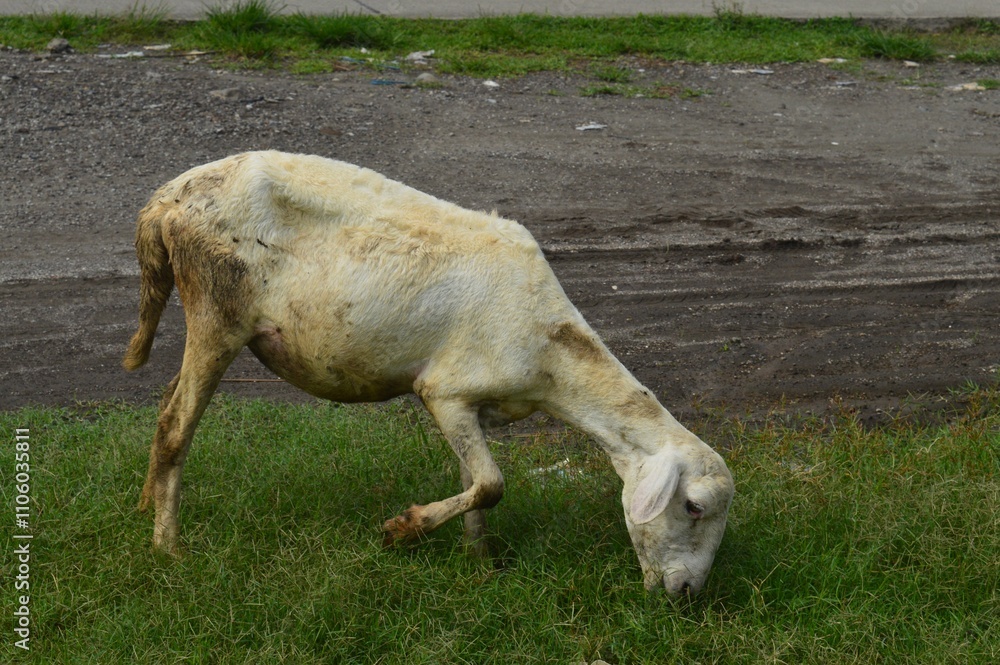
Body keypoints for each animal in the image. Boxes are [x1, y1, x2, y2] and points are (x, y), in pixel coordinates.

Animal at [123, 151, 734, 595]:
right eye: (694, 506)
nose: (686, 595)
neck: (553, 359)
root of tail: (165, 201)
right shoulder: (445, 391)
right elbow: (491, 484)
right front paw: (402, 530)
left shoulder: (473, 405)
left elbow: (474, 484)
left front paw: (479, 563)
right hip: (217, 307)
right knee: (177, 425)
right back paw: (167, 547)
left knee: (165, 407)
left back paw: (145, 506)